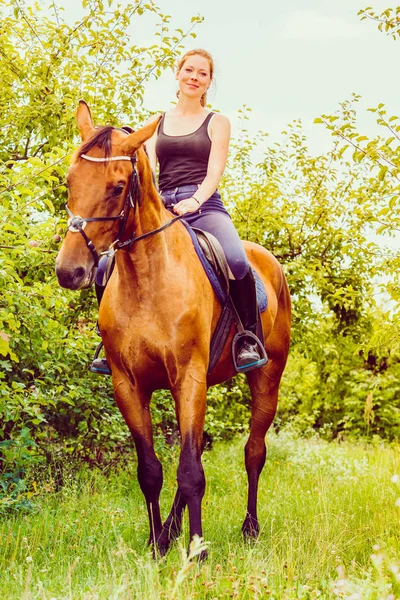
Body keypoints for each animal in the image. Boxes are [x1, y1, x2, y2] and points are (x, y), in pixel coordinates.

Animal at [55, 103, 290, 556]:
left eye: (117, 187)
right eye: (69, 182)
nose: (68, 271)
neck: (147, 279)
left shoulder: (188, 378)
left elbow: (192, 471)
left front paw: (196, 551)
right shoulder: (129, 385)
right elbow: (152, 469)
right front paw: (155, 544)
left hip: (266, 377)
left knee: (254, 452)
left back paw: (249, 528)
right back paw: (170, 529)